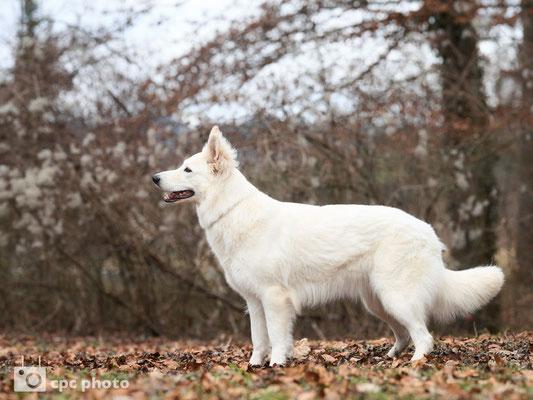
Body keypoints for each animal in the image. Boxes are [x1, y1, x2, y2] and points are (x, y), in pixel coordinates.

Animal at [153, 125, 502, 366]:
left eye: (187, 169)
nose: (155, 178)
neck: (233, 210)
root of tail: (428, 232)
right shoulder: (254, 301)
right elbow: (258, 339)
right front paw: (254, 366)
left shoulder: (275, 299)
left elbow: (277, 337)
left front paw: (276, 365)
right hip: (378, 302)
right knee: (404, 334)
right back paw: (389, 358)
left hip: (396, 296)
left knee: (424, 336)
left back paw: (415, 364)